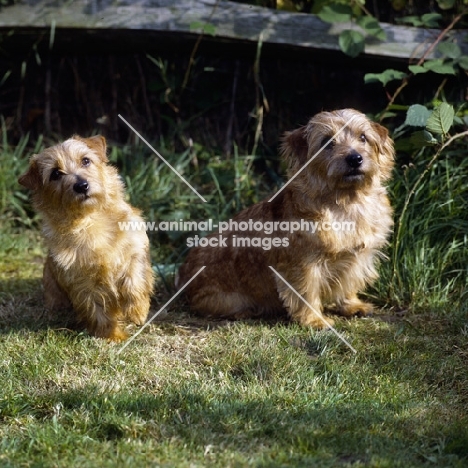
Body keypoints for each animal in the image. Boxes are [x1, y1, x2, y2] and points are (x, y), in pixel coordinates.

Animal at [18, 134, 154, 340]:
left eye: (86, 160)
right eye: (55, 174)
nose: (81, 185)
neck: (90, 219)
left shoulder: (136, 251)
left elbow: (134, 280)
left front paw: (137, 311)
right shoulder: (82, 281)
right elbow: (97, 310)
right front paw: (112, 336)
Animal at [177, 109, 394, 330]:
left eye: (363, 137)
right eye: (327, 142)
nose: (355, 158)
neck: (346, 202)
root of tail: (182, 274)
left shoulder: (354, 258)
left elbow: (347, 283)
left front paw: (352, 305)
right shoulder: (304, 264)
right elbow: (306, 293)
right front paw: (315, 320)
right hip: (227, 298)